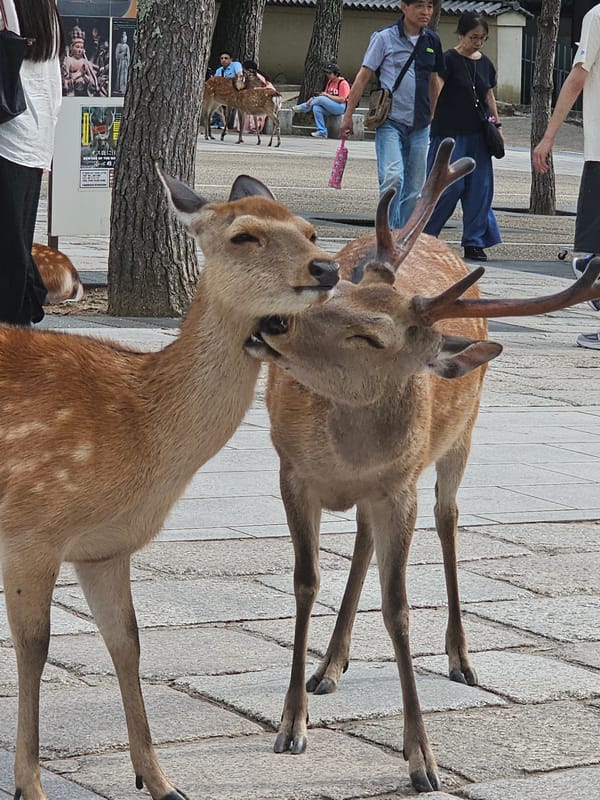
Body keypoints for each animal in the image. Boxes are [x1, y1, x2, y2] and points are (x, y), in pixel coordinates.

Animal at [0, 169, 339, 800]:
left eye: (309, 229)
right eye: (244, 236)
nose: (325, 267)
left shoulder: (105, 548)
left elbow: (128, 642)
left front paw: (159, 780)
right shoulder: (32, 531)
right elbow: (35, 648)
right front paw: (29, 786)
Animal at [245, 139, 600, 794]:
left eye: (371, 337)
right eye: (335, 293)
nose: (272, 322)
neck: (347, 454)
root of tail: (437, 239)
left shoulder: (399, 488)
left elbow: (399, 608)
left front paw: (423, 760)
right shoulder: (293, 475)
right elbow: (307, 583)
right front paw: (290, 724)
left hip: (461, 438)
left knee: (448, 518)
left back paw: (461, 658)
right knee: (362, 541)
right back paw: (329, 666)